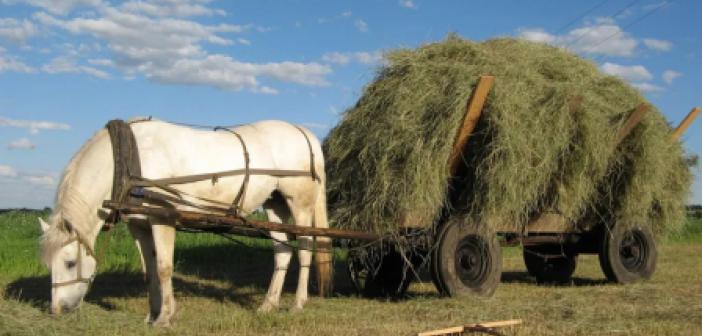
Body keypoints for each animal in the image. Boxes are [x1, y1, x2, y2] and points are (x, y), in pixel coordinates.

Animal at [37, 119, 332, 326]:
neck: (129, 160)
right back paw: (268, 305)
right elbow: (149, 270)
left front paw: (166, 317)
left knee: (305, 248)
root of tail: (302, 131)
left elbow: (164, 268)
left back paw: (298, 303)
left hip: (300, 204)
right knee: (282, 252)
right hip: (275, 204)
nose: (56, 311)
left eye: (70, 263)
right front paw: (152, 314)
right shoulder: (140, 226)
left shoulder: (163, 219)